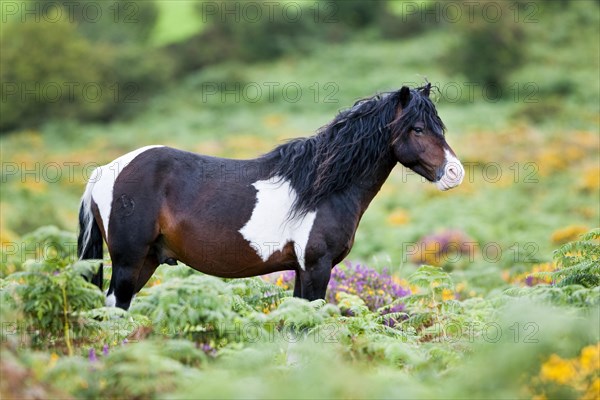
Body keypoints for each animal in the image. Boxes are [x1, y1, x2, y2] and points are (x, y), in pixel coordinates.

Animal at [78, 84, 464, 310]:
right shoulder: (316, 268)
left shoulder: (301, 270)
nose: (455, 172)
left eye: (439, 127)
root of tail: (106, 171)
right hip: (129, 262)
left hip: (145, 261)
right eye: (417, 128)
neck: (321, 187)